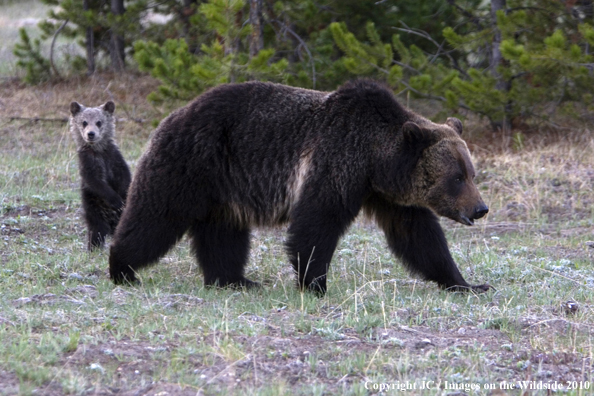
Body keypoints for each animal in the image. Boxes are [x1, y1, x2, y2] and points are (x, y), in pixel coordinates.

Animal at [70, 102, 131, 251]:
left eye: (99, 122)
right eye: (84, 122)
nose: (91, 134)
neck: (98, 150)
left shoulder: (114, 158)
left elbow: (124, 178)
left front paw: (124, 198)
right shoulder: (88, 162)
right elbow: (95, 182)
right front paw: (116, 200)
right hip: (93, 206)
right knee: (97, 228)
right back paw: (94, 247)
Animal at [108, 80, 488, 294]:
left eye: (471, 173)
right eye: (456, 177)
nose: (481, 208)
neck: (375, 162)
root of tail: (172, 115)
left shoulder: (390, 195)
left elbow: (419, 237)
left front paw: (467, 283)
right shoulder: (336, 161)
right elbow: (317, 224)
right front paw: (316, 284)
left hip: (223, 189)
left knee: (223, 234)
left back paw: (234, 280)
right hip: (189, 164)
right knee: (155, 216)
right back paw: (122, 268)